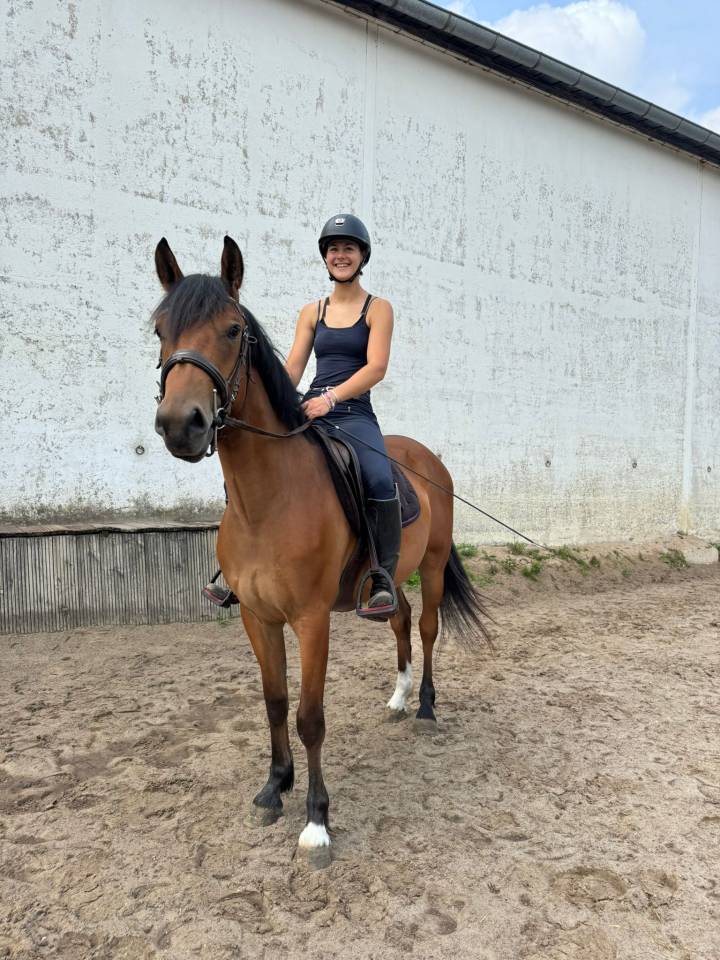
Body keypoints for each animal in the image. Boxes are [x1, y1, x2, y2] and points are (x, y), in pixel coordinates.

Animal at [152, 235, 490, 859]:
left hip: (431, 567)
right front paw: (273, 788)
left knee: (427, 626)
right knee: (398, 616)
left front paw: (316, 821)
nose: (180, 425)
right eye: (160, 330)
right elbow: (274, 702)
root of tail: (427, 459)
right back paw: (399, 698)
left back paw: (425, 706)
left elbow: (310, 715)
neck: (267, 499)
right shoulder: (257, 618)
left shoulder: (311, 619)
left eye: (232, 330)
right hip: (388, 577)